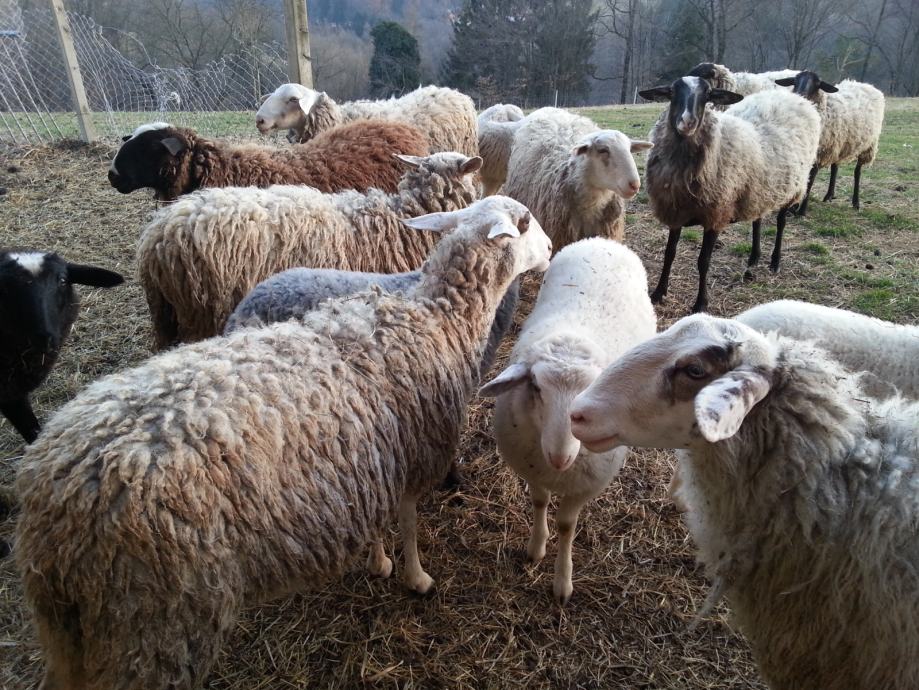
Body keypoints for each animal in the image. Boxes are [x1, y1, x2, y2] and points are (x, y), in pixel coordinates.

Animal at [16, 196, 552, 690]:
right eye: (525, 221)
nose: (550, 249)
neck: (436, 314)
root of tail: (55, 505)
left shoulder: (370, 452)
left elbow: (380, 517)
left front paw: (377, 561)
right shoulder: (414, 446)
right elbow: (408, 522)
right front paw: (415, 577)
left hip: (78, 632)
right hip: (151, 618)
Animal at [479, 237, 656, 605]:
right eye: (535, 386)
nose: (560, 457)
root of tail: (602, 241)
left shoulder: (584, 485)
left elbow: (566, 526)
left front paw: (562, 582)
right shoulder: (531, 467)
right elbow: (539, 501)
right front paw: (535, 548)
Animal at [639, 76, 821, 313]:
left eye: (707, 95)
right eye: (672, 92)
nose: (688, 121)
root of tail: (795, 98)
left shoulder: (716, 215)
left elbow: (703, 261)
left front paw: (700, 303)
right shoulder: (676, 212)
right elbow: (669, 253)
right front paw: (658, 293)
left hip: (793, 187)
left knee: (781, 223)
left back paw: (775, 262)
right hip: (760, 190)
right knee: (757, 220)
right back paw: (753, 258)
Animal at [773, 71, 885, 215]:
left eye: (817, 84)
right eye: (795, 81)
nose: (800, 96)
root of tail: (867, 85)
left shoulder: (819, 153)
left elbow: (811, 179)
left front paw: (801, 210)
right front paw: (794, 207)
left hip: (867, 145)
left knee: (857, 172)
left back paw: (856, 202)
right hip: (839, 143)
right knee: (835, 167)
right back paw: (829, 195)